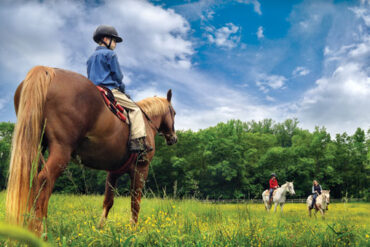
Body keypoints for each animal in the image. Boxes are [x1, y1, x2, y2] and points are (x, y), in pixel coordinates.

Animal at [6, 65, 178, 235]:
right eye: (174, 113)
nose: (174, 138)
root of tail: (48, 71)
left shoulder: (113, 172)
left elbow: (108, 201)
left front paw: (100, 229)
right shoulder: (141, 168)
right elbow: (135, 202)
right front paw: (133, 230)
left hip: (38, 148)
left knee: (31, 180)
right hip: (61, 151)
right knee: (44, 180)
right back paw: (40, 229)